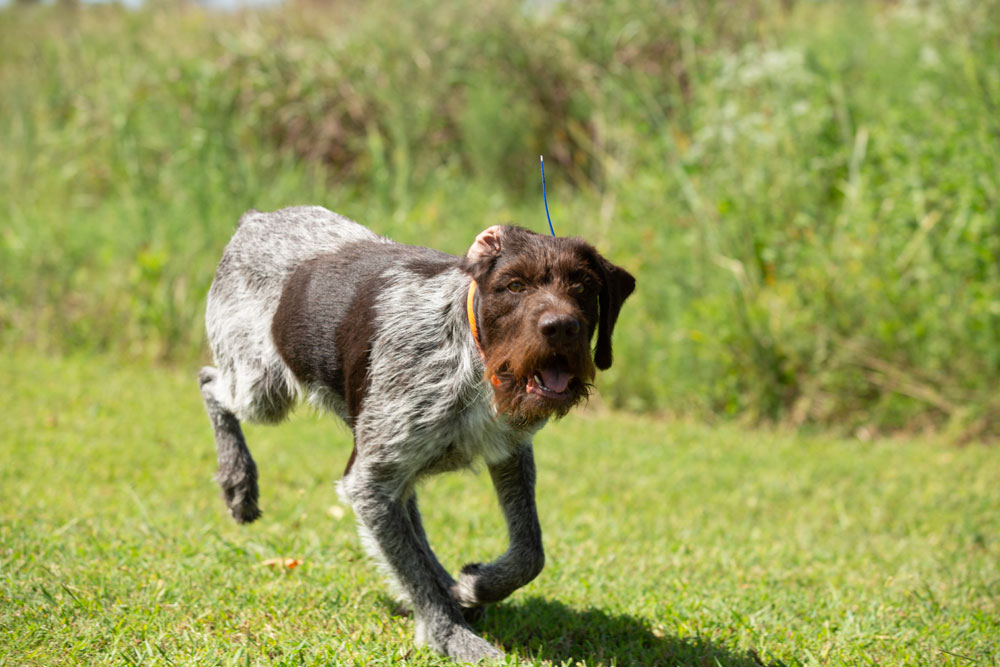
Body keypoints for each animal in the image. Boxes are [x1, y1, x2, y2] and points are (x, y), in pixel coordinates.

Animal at [197, 207, 632, 664]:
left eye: (583, 287)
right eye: (514, 285)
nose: (562, 327)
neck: (471, 360)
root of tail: (255, 218)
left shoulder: (509, 453)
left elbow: (530, 552)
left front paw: (475, 586)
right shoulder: (370, 483)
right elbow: (418, 578)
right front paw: (455, 637)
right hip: (263, 388)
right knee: (209, 382)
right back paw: (238, 480)